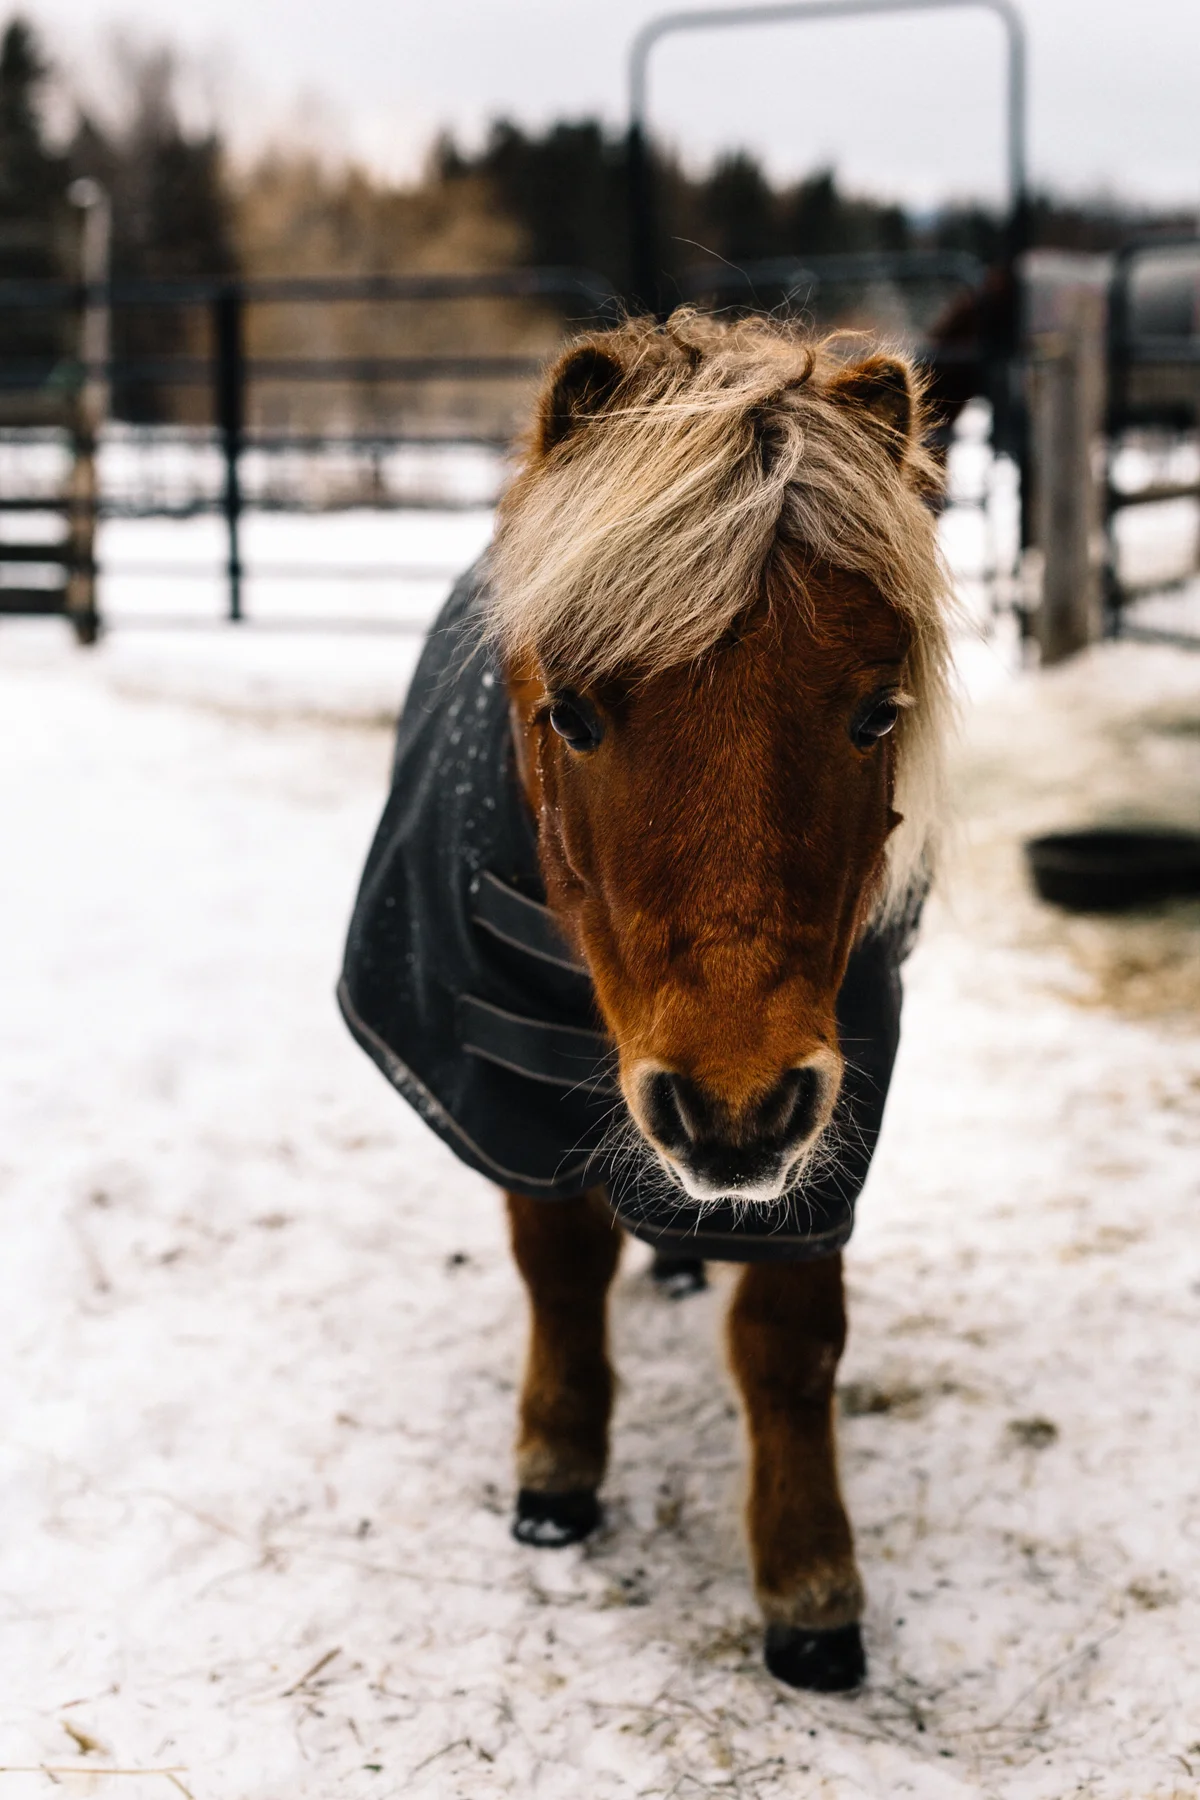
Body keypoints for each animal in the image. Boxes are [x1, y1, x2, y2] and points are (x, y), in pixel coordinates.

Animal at [339, 310, 953, 1692]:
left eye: (874, 713)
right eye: (571, 714)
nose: (733, 1107)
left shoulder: (833, 1101)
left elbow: (790, 1339)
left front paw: (810, 1586)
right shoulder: (500, 1078)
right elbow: (560, 1266)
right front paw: (557, 1473)